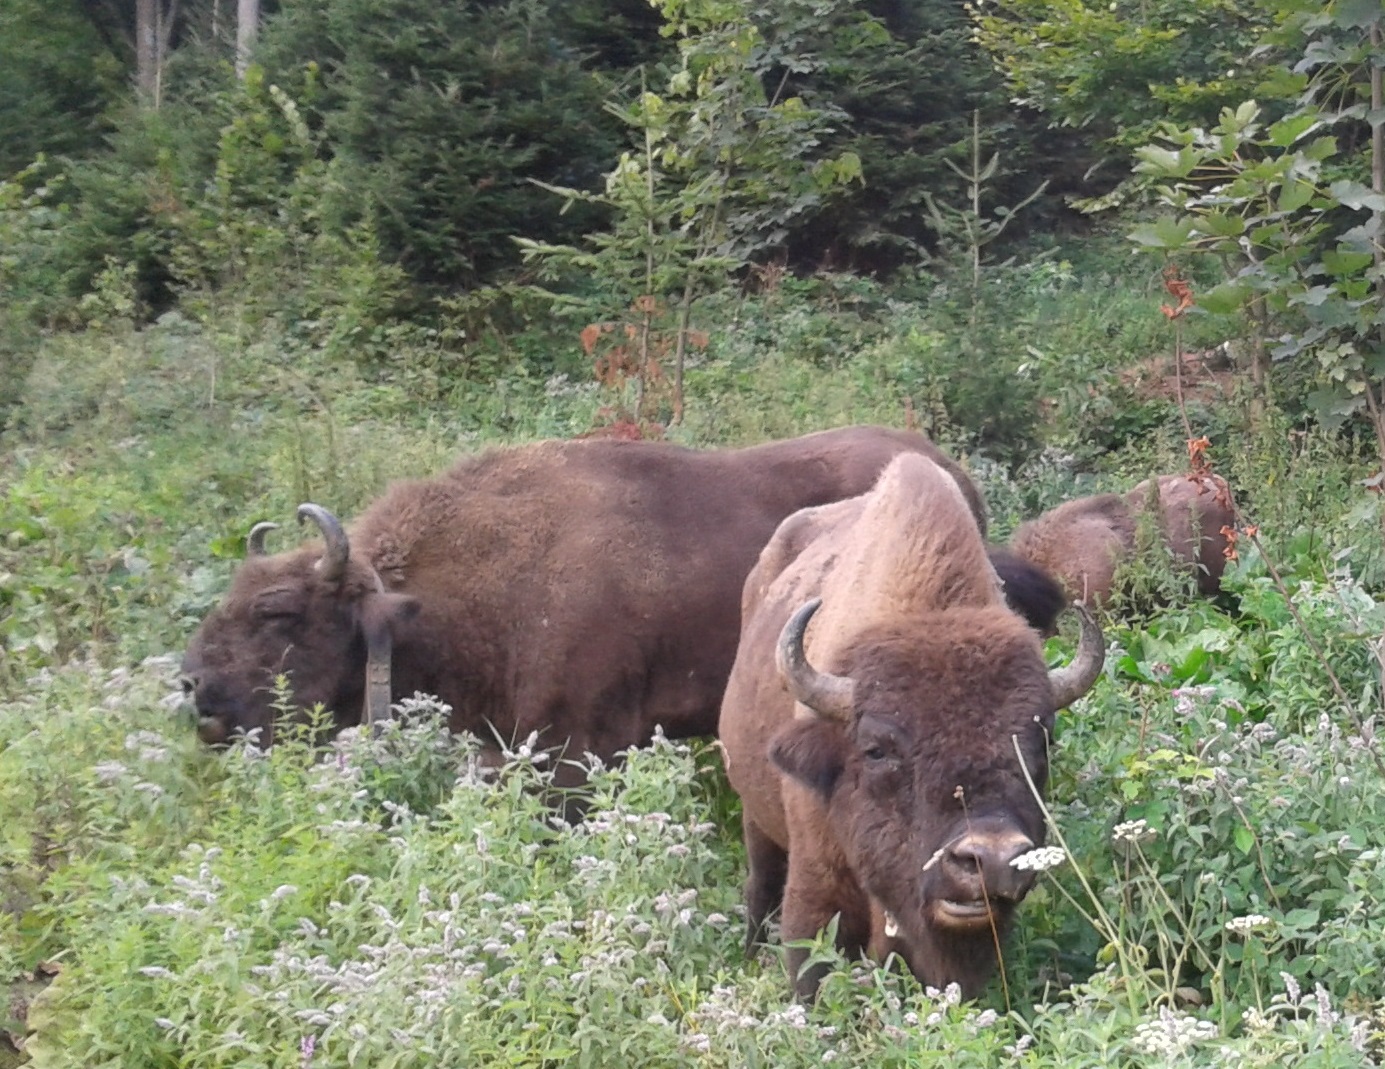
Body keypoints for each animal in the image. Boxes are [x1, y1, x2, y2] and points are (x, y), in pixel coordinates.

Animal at [714, 454, 1102, 1002]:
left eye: (1040, 742)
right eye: (877, 749)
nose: (992, 860)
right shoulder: (815, 888)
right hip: (756, 817)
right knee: (760, 883)